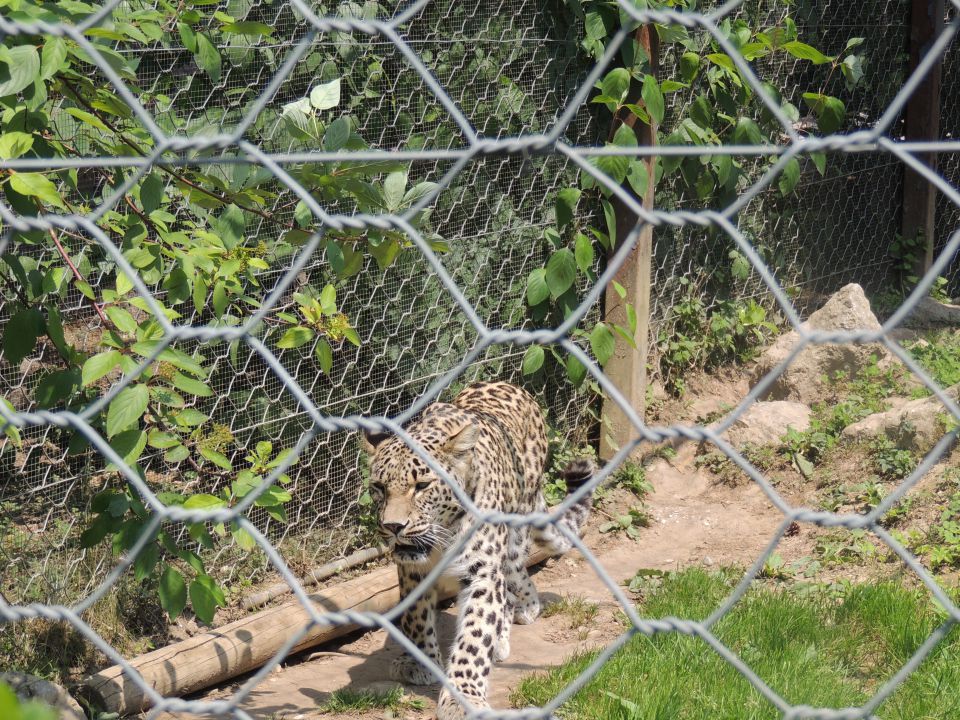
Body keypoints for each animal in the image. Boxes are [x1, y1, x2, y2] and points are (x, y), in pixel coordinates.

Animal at [364, 380, 596, 716]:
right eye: (379, 488)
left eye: (422, 486)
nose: (393, 526)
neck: (443, 536)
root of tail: (510, 385)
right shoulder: (411, 570)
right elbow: (416, 618)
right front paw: (419, 663)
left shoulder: (483, 572)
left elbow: (474, 637)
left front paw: (463, 697)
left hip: (513, 535)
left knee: (513, 581)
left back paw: (521, 614)